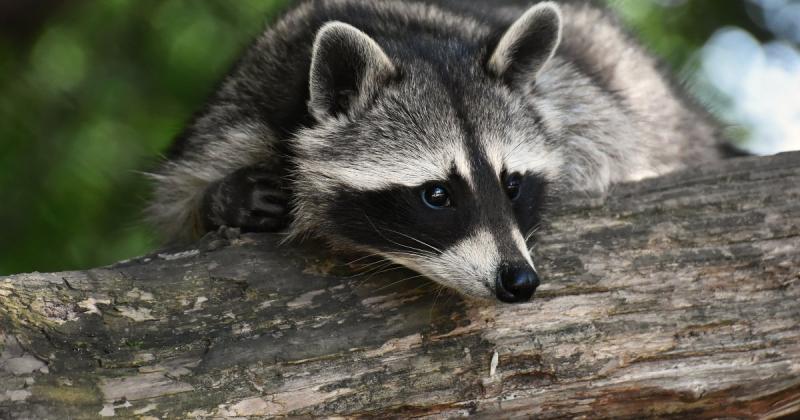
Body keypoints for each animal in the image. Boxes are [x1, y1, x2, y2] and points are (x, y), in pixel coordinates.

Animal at [145, 0, 724, 302]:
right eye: (437, 195)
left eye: (512, 184)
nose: (519, 282)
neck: (407, 37)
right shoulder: (240, 107)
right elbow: (180, 198)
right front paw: (226, 198)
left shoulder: (581, 103)